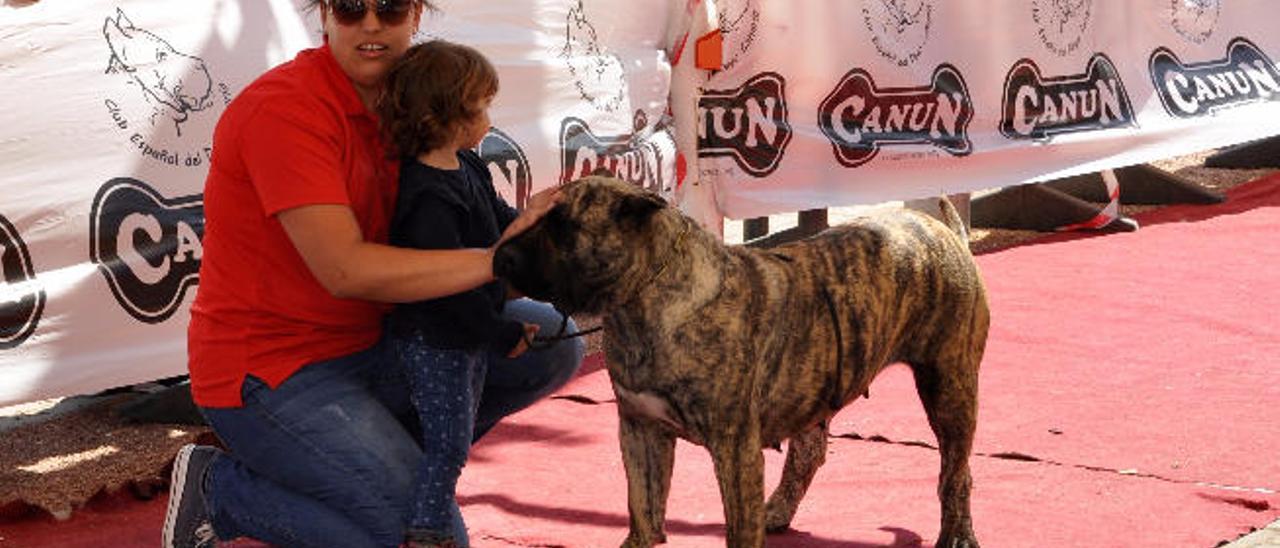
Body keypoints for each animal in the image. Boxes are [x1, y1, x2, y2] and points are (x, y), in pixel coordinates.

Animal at [491, 177, 988, 545]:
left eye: (563, 227)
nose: (500, 256)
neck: (640, 305)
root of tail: (944, 232)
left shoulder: (734, 449)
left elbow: (737, 527)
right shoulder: (640, 429)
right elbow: (643, 509)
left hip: (949, 386)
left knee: (956, 471)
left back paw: (957, 534)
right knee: (809, 454)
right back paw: (778, 510)